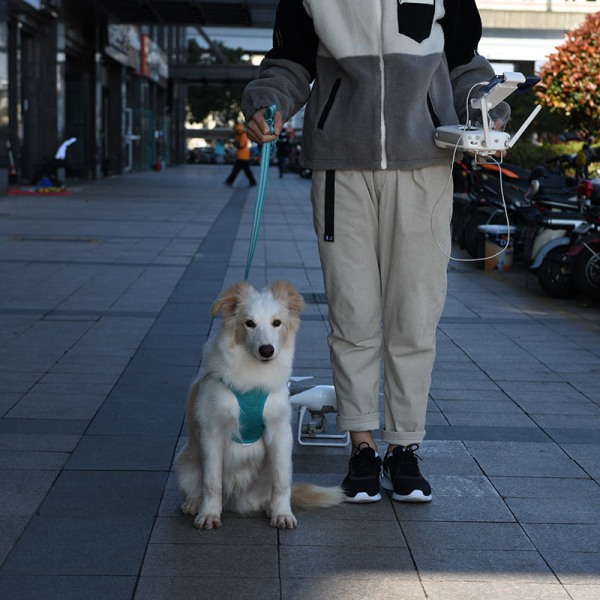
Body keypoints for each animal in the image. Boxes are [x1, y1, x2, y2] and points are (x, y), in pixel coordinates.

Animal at [175, 282, 342, 528]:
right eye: (249, 323)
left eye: (277, 322)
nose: (267, 350)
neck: (253, 379)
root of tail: (235, 499)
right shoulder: (212, 432)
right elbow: (212, 482)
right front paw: (209, 514)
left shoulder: (280, 432)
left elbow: (282, 482)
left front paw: (282, 513)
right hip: (187, 464)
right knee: (199, 486)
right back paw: (194, 504)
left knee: (271, 491)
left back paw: (270, 507)